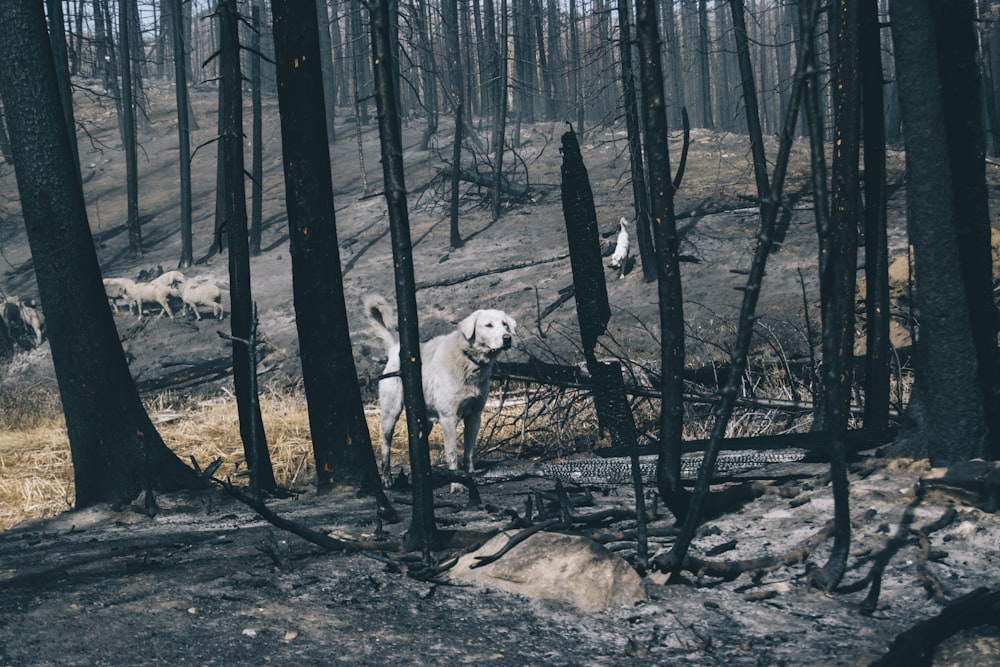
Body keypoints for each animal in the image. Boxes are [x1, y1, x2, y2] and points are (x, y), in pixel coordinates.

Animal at [364, 294, 516, 488]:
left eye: (505, 324)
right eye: (488, 325)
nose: (507, 338)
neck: (469, 361)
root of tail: (395, 349)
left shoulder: (475, 416)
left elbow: (468, 453)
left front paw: (471, 478)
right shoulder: (448, 418)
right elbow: (452, 455)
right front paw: (457, 485)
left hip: (424, 421)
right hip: (391, 412)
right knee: (385, 445)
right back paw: (386, 478)